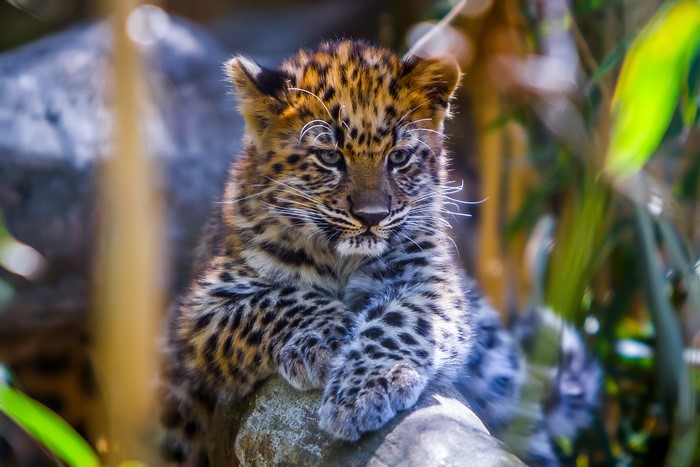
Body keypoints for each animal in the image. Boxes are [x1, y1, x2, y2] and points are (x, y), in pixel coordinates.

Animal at [160, 39, 600, 466]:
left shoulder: (428, 282)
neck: (341, 258)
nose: (372, 216)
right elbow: (274, 300)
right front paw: (328, 335)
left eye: (399, 157)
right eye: (329, 156)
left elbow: (399, 323)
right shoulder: (201, 308)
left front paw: (365, 390)